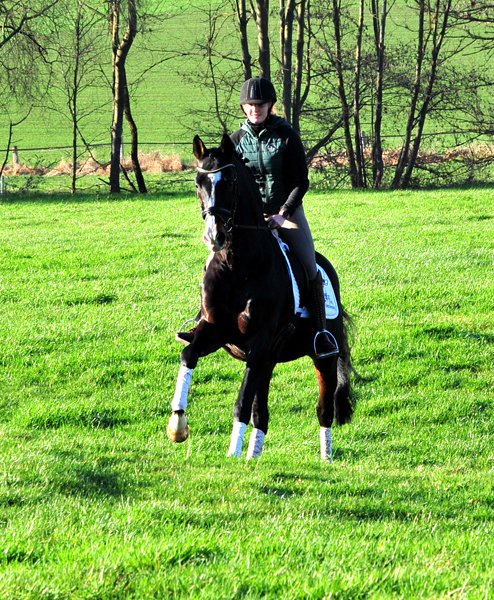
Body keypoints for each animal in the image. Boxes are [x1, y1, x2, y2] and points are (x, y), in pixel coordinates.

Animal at [168, 132, 354, 460]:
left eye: (230, 181)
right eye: (197, 182)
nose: (214, 236)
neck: (237, 264)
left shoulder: (259, 341)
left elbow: (241, 402)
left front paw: (231, 456)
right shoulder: (215, 331)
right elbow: (188, 355)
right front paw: (177, 423)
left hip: (322, 357)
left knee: (324, 409)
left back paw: (326, 458)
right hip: (268, 360)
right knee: (261, 414)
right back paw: (253, 456)